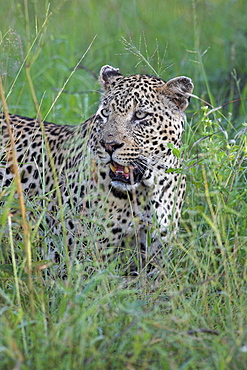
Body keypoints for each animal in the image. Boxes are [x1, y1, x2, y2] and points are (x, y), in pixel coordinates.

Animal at [0, 65, 193, 276]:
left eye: (141, 115)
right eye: (106, 113)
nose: (109, 145)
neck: (143, 192)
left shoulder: (155, 259)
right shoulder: (80, 258)